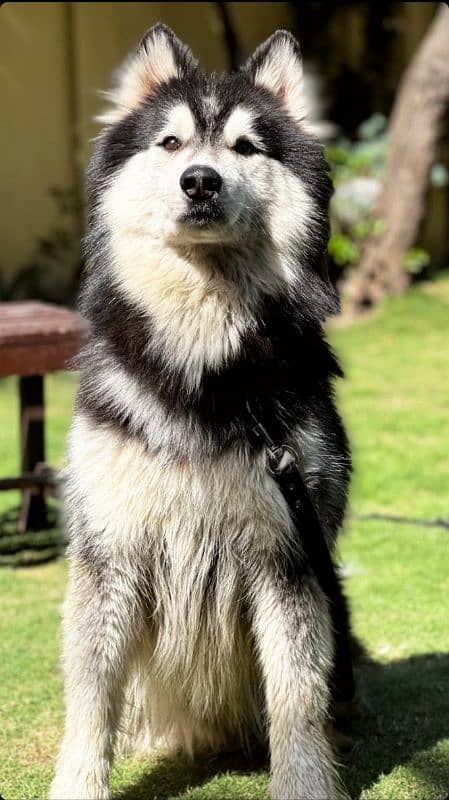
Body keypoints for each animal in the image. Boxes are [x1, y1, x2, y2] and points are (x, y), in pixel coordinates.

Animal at [50, 25, 354, 800]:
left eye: (245, 147)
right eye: (170, 143)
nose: (200, 181)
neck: (204, 359)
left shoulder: (286, 551)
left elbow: (296, 693)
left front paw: (306, 783)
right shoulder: (111, 548)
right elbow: (91, 694)